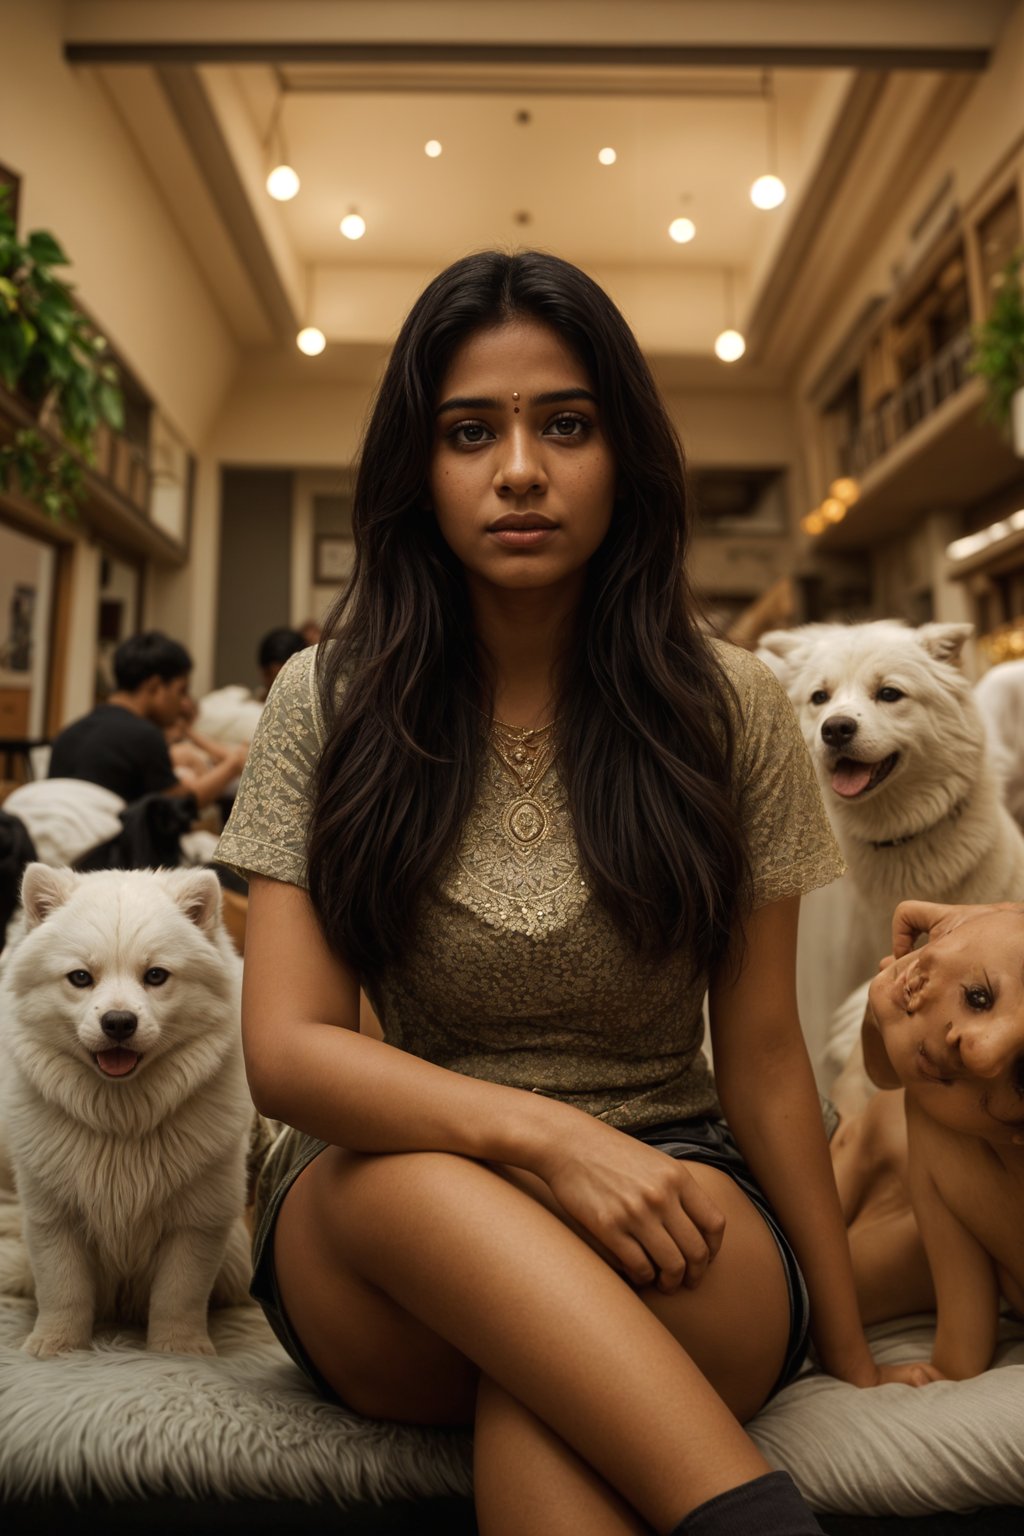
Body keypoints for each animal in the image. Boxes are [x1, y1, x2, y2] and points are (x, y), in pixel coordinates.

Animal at [0, 866, 254, 1357]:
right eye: (80, 978)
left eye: (156, 975)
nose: (118, 1022)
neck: (121, 1123)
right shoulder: (53, 1218)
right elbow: (63, 1290)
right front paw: (55, 1347)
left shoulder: (198, 1224)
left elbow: (179, 1294)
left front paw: (180, 1350)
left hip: (235, 1262)